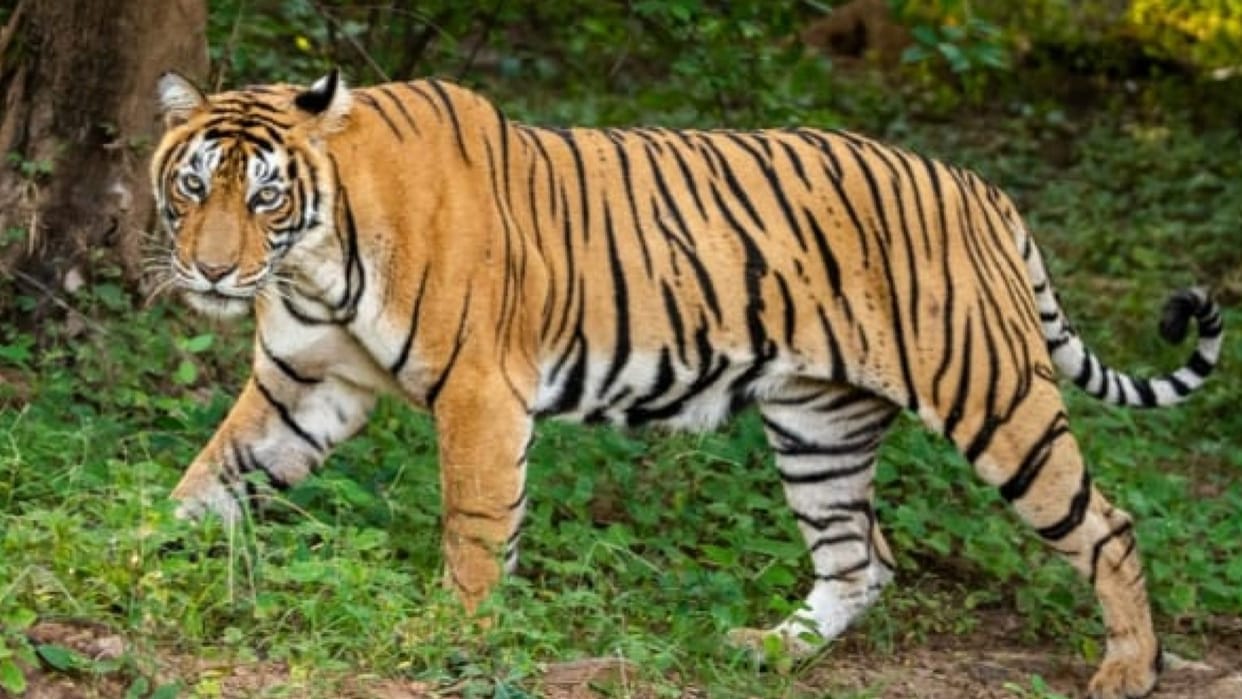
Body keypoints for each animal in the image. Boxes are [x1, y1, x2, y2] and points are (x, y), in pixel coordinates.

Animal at [151, 69, 1222, 699]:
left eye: (265, 196)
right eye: (193, 184)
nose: (210, 271)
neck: (312, 261)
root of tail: (983, 190)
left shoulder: (482, 393)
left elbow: (473, 528)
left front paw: (453, 634)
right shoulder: (304, 384)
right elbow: (208, 482)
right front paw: (139, 562)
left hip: (993, 398)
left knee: (1107, 524)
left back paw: (1130, 667)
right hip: (819, 424)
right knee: (862, 555)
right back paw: (768, 650)